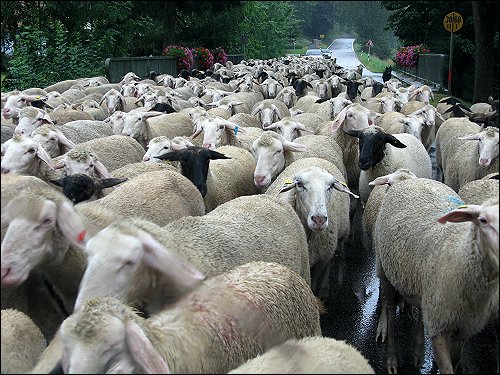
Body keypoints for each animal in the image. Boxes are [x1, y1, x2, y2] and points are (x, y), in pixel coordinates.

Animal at [266, 157, 356, 302]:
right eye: (299, 184)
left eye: (331, 186)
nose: (319, 220)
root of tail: (316, 159)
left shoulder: (320, 260)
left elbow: (315, 281)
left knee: (330, 262)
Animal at [374, 178, 498, 374]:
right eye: (483, 220)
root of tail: (411, 179)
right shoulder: (440, 327)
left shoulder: (463, 328)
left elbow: (455, 362)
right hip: (385, 270)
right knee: (391, 312)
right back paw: (391, 358)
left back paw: (418, 354)